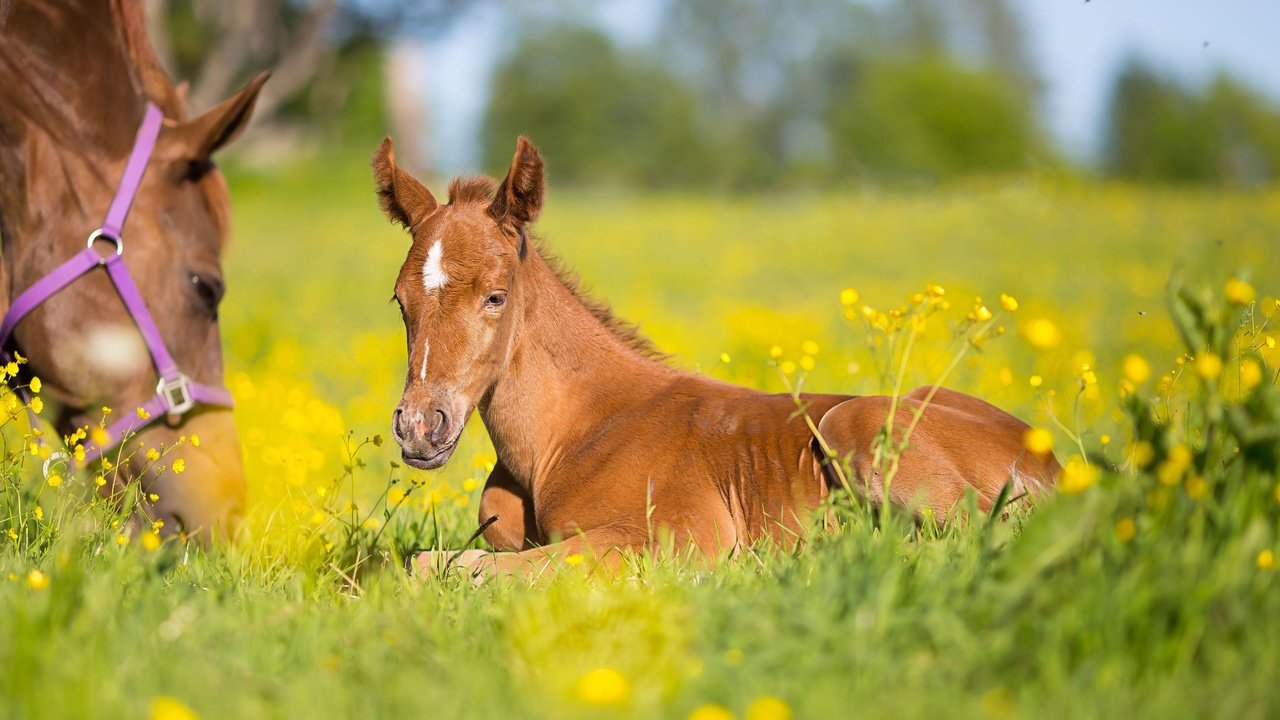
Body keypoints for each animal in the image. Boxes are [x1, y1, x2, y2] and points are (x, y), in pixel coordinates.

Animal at [373, 133, 1059, 571]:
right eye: (400, 301)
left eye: (495, 296)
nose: (420, 426)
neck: (566, 433)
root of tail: (1054, 462)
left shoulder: (678, 535)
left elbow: (458, 567)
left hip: (855, 422)